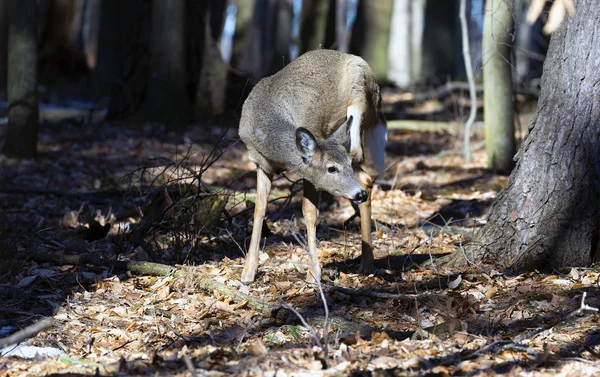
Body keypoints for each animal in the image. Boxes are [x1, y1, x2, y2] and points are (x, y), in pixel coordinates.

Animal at [237, 48, 386, 282]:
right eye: (331, 168)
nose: (358, 194)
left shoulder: (309, 170)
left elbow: (309, 213)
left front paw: (313, 272)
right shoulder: (261, 163)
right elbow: (259, 208)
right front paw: (248, 271)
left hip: (360, 99)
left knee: (362, 165)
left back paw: (366, 261)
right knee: (366, 177)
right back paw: (366, 262)